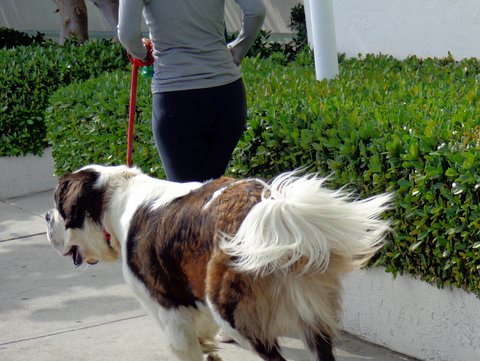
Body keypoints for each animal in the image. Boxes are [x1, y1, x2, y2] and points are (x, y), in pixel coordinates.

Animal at [45, 164, 392, 360]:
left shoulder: (170, 314)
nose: (47, 217)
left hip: (233, 312)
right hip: (310, 311)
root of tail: (269, 205)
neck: (116, 200)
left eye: (59, 204)